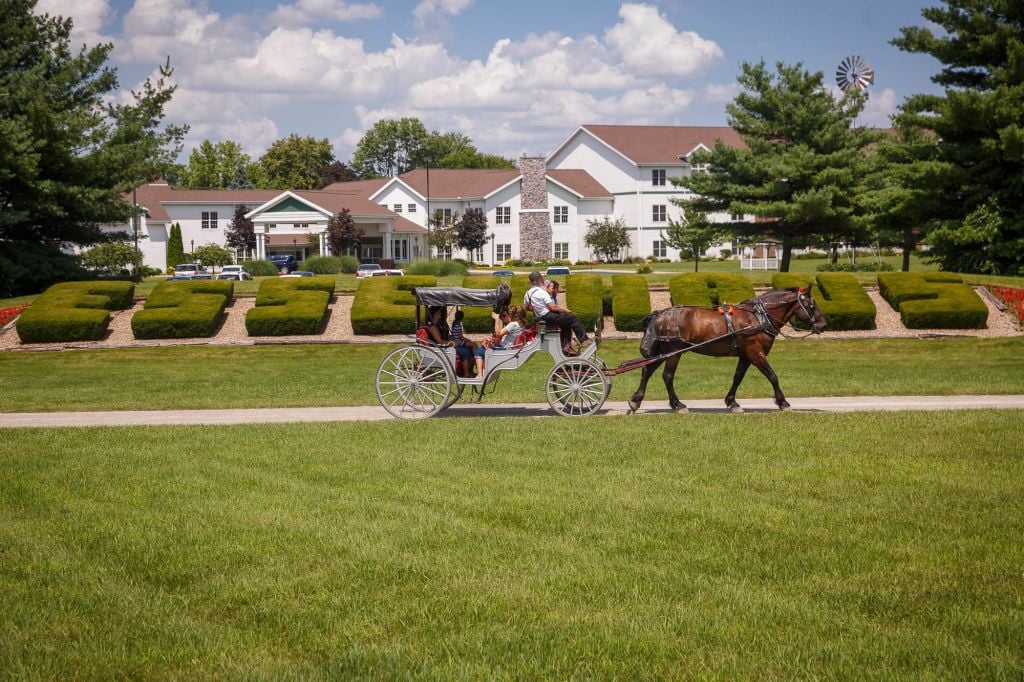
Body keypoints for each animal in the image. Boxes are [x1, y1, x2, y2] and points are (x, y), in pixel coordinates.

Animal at [626, 284, 827, 411]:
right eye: (810, 304)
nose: (823, 325)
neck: (758, 317)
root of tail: (660, 314)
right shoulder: (756, 354)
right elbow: (772, 376)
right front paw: (783, 402)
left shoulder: (746, 355)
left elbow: (737, 377)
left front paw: (732, 402)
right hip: (673, 352)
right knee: (667, 376)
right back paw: (677, 405)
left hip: (663, 352)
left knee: (647, 371)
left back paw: (636, 401)